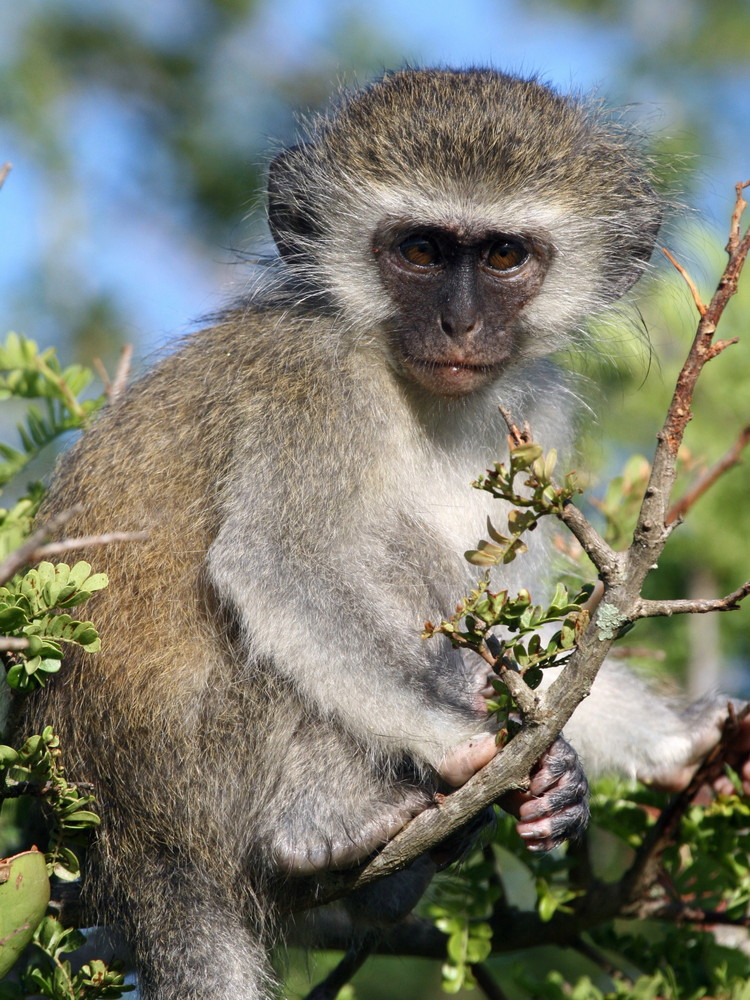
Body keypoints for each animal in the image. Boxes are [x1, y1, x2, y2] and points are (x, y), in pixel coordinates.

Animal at [16, 70, 750, 1000]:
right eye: (422, 251)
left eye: (503, 256)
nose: (459, 326)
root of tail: (130, 833)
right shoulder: (316, 383)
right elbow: (276, 567)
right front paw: (474, 746)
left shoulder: (534, 414)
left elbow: (542, 637)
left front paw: (673, 740)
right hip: (200, 764)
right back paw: (323, 826)